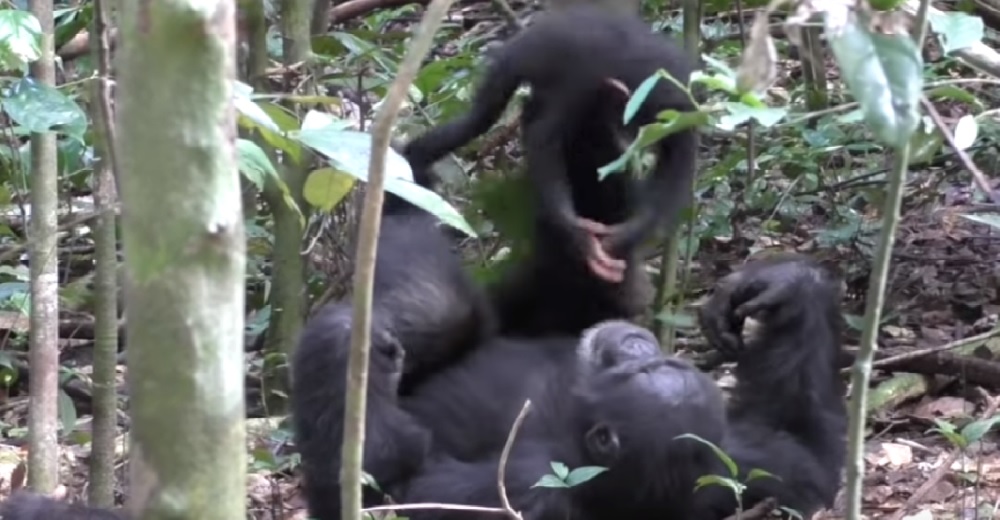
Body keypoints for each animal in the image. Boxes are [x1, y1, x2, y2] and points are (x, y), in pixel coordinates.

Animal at [402, 5, 700, 338]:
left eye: (652, 127)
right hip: (510, 62)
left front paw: (624, 237)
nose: (633, 143)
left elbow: (678, 165)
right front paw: (581, 237)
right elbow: (545, 138)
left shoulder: (684, 106)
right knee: (479, 120)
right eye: (635, 124)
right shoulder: (581, 84)